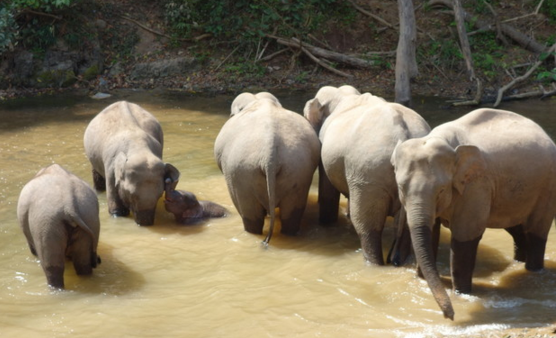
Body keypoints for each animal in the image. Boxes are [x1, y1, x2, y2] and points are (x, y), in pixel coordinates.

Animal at [214, 91, 320, 242]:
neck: (258, 100)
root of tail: (270, 150)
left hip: (240, 174)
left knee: (251, 218)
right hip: (297, 170)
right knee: (291, 216)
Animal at [304, 86, 430, 266]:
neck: (343, 94)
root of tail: (403, 132)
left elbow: (328, 190)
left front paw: (327, 224)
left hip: (368, 173)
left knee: (367, 227)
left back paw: (373, 263)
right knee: (408, 226)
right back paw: (397, 262)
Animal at [390, 108, 556, 320]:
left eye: (441, 190)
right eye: (401, 188)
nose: (450, 316)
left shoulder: (476, 185)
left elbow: (465, 236)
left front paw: (462, 294)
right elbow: (432, 232)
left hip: (547, 187)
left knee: (536, 232)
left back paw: (533, 270)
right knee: (516, 229)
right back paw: (518, 262)